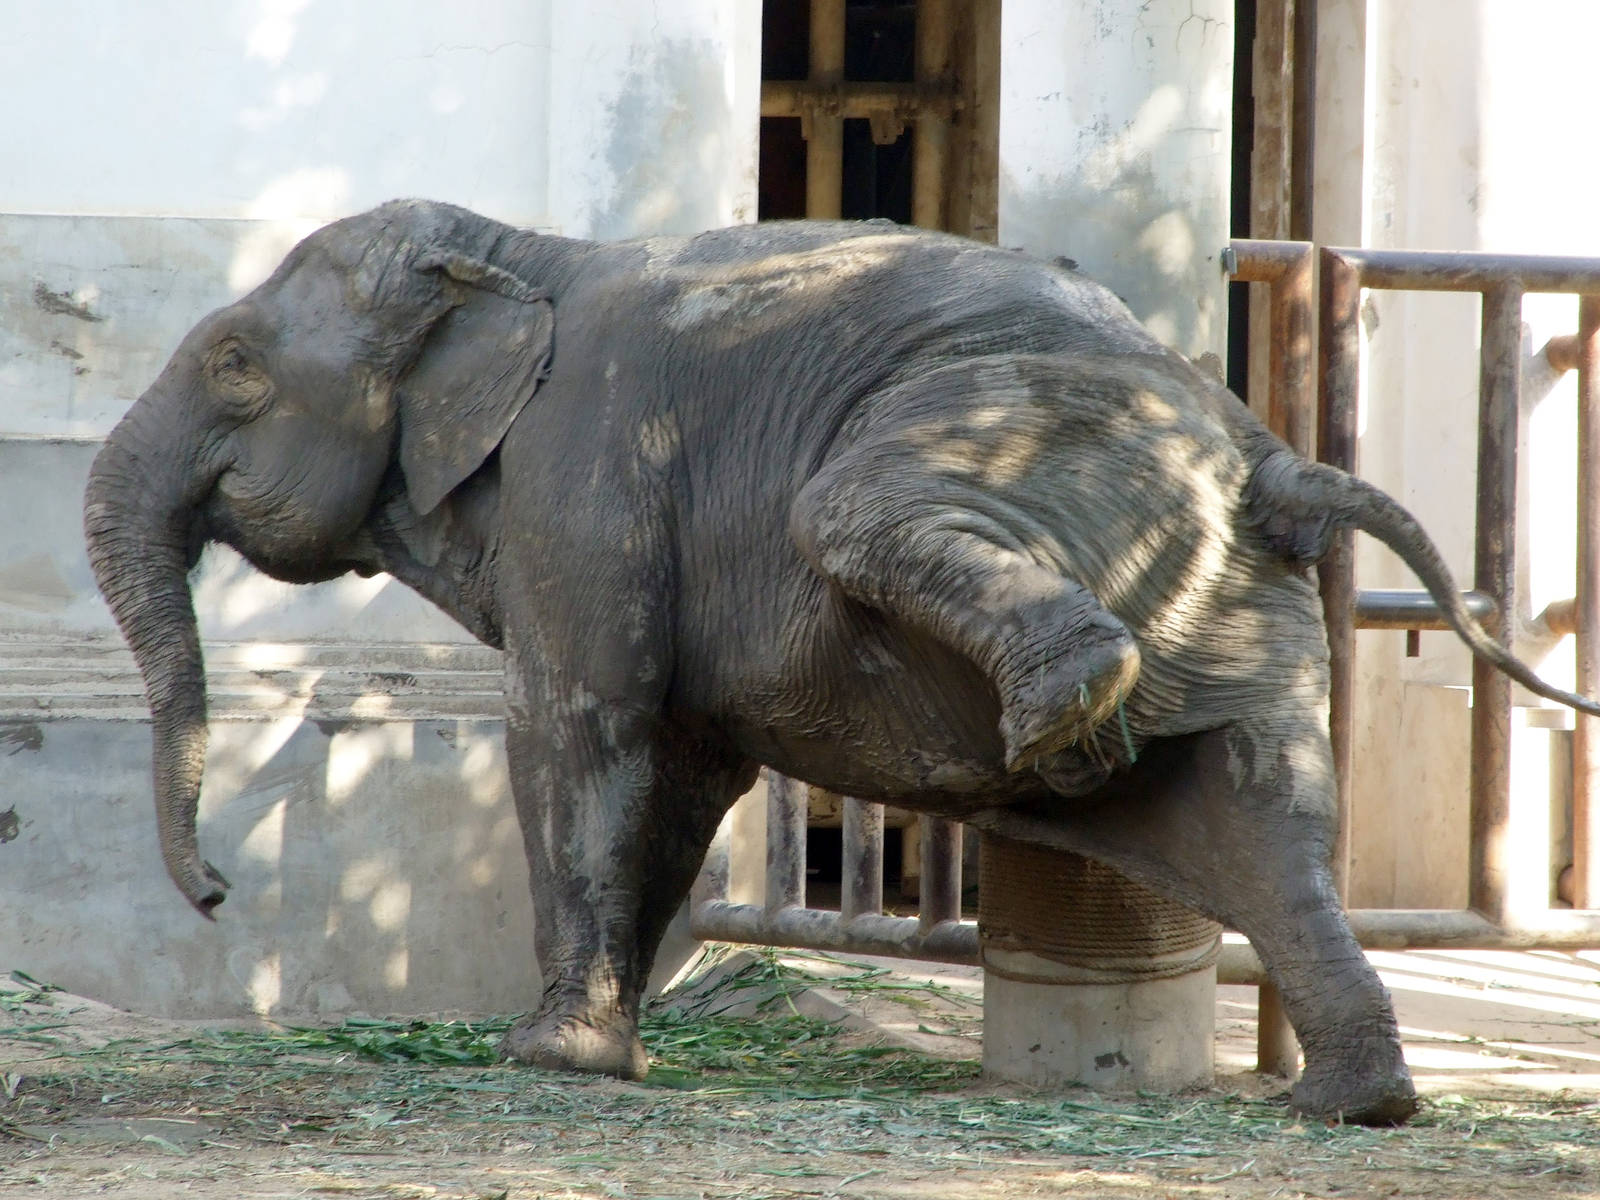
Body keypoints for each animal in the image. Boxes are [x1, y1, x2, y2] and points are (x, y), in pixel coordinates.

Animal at [83, 199, 1600, 1127]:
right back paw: (1353, 1102)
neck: (520, 251)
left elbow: (582, 723)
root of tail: (1267, 452)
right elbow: (682, 773)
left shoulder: (587, 473)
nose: (216, 897)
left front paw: (551, 1058)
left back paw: (1066, 708)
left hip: (1030, 436)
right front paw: (612, 1039)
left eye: (234, 362)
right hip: (1237, 602)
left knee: (853, 513)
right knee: (1267, 825)